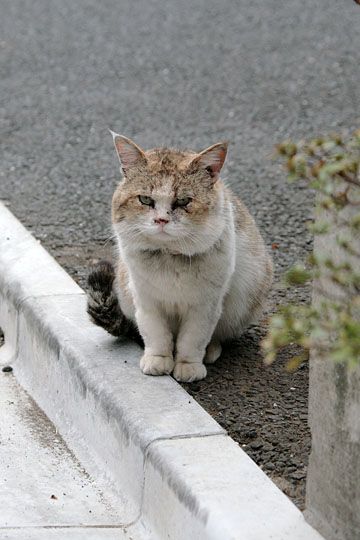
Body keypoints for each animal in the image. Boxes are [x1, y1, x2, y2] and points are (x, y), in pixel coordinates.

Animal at [87, 132, 272, 382]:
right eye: (145, 200)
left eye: (184, 201)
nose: (162, 220)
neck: (169, 257)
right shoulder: (146, 300)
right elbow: (155, 334)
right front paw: (158, 360)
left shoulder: (205, 306)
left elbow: (192, 339)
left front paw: (188, 366)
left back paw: (211, 351)